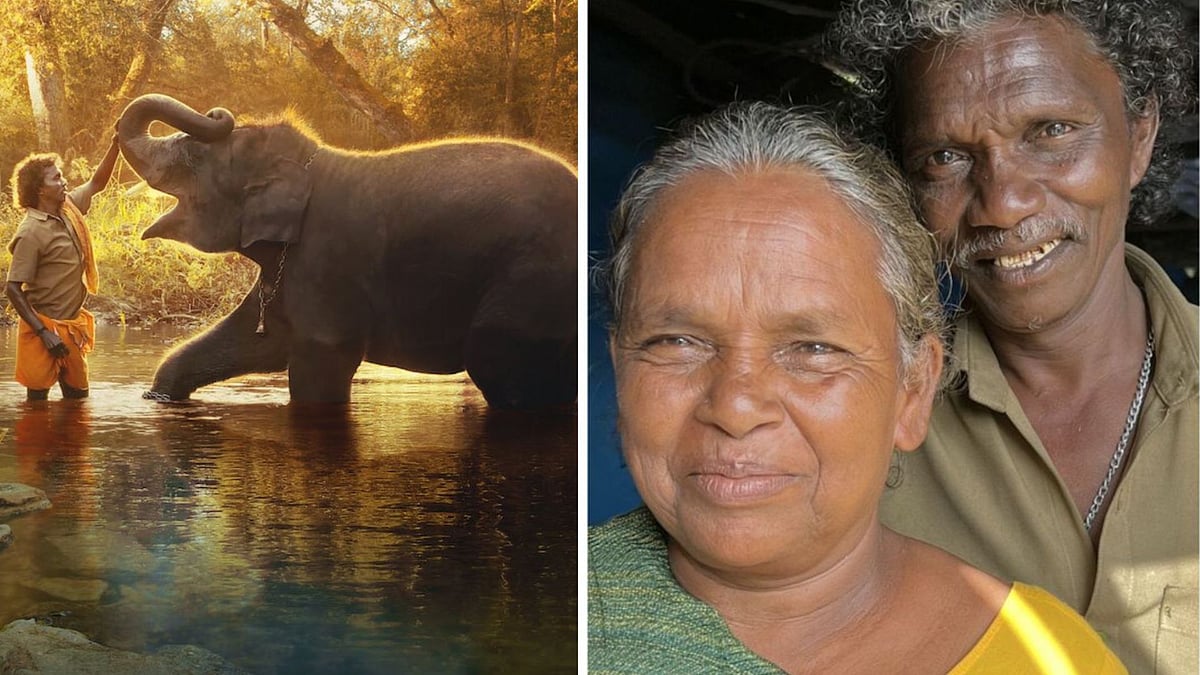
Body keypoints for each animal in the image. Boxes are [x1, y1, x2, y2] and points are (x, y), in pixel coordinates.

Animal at [116, 94, 576, 407]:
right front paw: (159, 397)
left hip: (532, 281)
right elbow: (254, 341)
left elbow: (319, 363)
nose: (217, 113)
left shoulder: (327, 259)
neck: (310, 163)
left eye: (194, 155)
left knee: (496, 361)